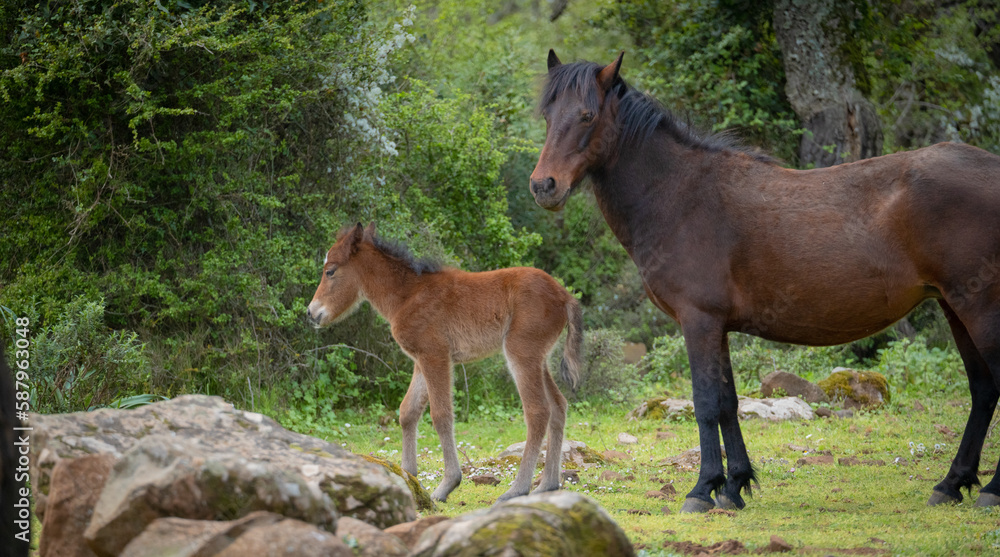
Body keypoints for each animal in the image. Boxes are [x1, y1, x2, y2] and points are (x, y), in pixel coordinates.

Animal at [306, 222, 583, 503]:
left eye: (330, 271)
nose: (311, 313)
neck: (407, 295)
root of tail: (564, 296)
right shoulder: (420, 360)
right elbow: (408, 411)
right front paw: (408, 475)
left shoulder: (435, 356)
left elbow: (441, 415)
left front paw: (447, 485)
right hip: (539, 359)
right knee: (558, 406)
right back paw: (548, 484)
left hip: (521, 353)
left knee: (538, 411)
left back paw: (518, 489)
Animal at [530, 49, 1000, 513]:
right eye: (548, 115)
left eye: (587, 115)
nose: (543, 186)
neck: (679, 194)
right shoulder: (717, 326)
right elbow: (728, 403)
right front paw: (734, 486)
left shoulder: (698, 321)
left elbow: (705, 403)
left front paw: (702, 490)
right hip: (954, 307)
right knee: (983, 389)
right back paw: (951, 484)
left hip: (979, 308)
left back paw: (990, 491)